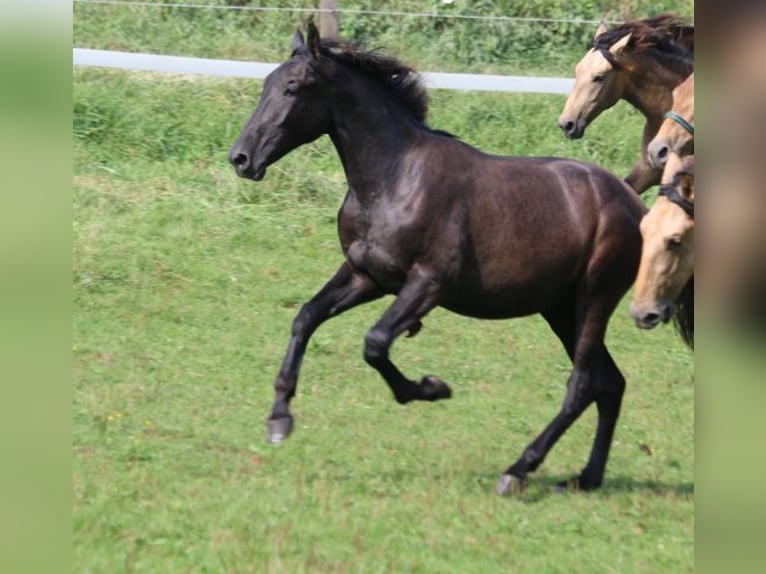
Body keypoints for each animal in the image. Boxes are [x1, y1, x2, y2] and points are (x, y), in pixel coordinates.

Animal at [228, 23, 648, 496]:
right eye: (266, 83)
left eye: (293, 87)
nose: (241, 158)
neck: (394, 179)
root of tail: (635, 205)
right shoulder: (365, 275)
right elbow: (305, 317)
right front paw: (279, 418)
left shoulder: (428, 284)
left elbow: (375, 343)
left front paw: (430, 388)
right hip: (559, 308)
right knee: (609, 382)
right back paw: (587, 477)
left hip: (595, 297)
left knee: (582, 383)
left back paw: (517, 470)